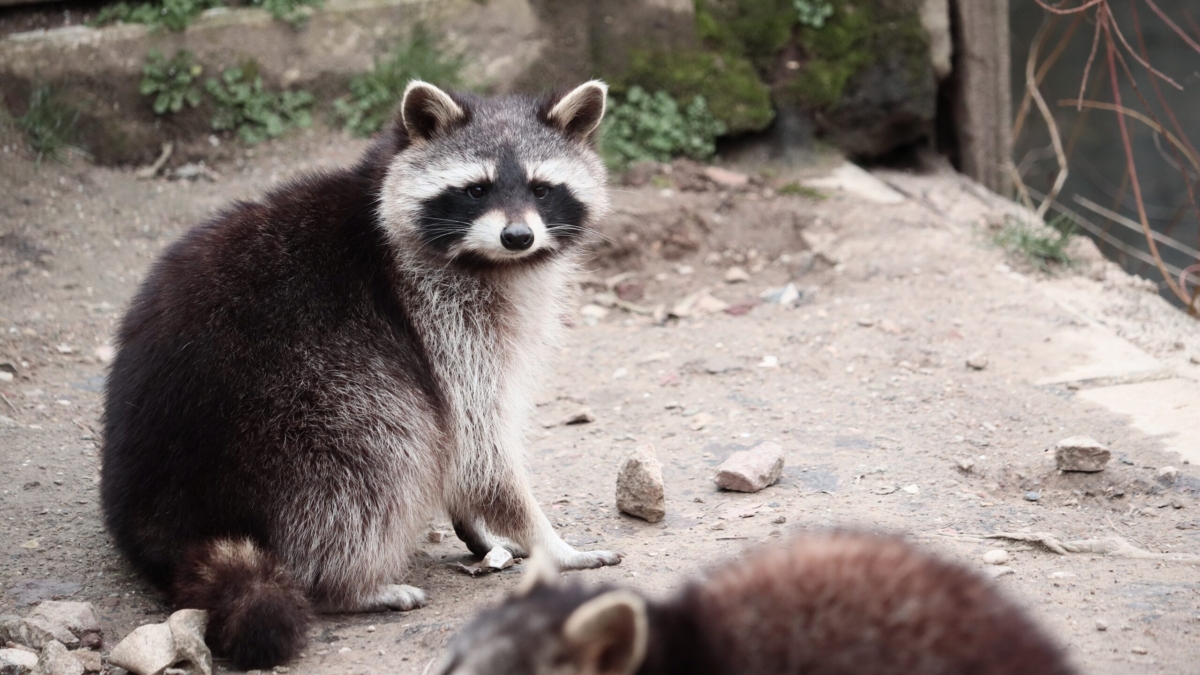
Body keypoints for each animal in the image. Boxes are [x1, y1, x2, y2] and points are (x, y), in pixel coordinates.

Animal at [100, 80, 621, 670]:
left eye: (541, 188)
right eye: (475, 190)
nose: (517, 236)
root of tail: (168, 520)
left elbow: (465, 451)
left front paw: (481, 528)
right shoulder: (436, 316)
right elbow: (477, 445)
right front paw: (550, 543)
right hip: (301, 403)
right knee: (382, 446)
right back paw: (347, 586)